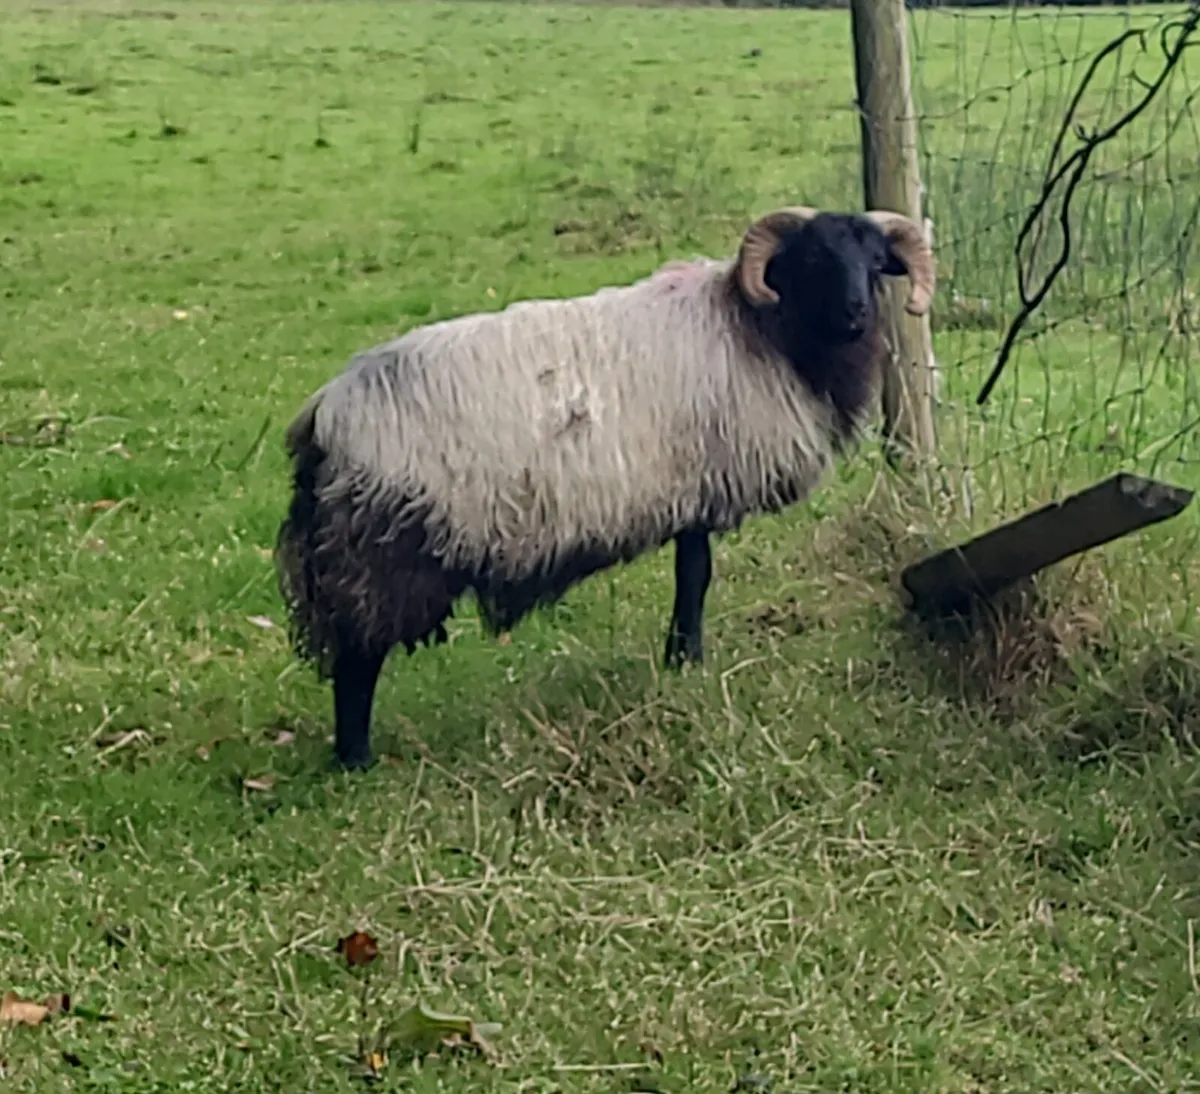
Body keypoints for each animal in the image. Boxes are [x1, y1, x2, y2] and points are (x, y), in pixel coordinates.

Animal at [275, 205, 936, 769]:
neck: (761, 328)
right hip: (383, 558)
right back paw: (355, 761)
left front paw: (679, 659)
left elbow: (690, 576)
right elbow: (696, 577)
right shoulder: (700, 486)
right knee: (357, 663)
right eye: (814, 257)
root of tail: (323, 416)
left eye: (876, 261)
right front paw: (687, 659)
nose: (856, 314)